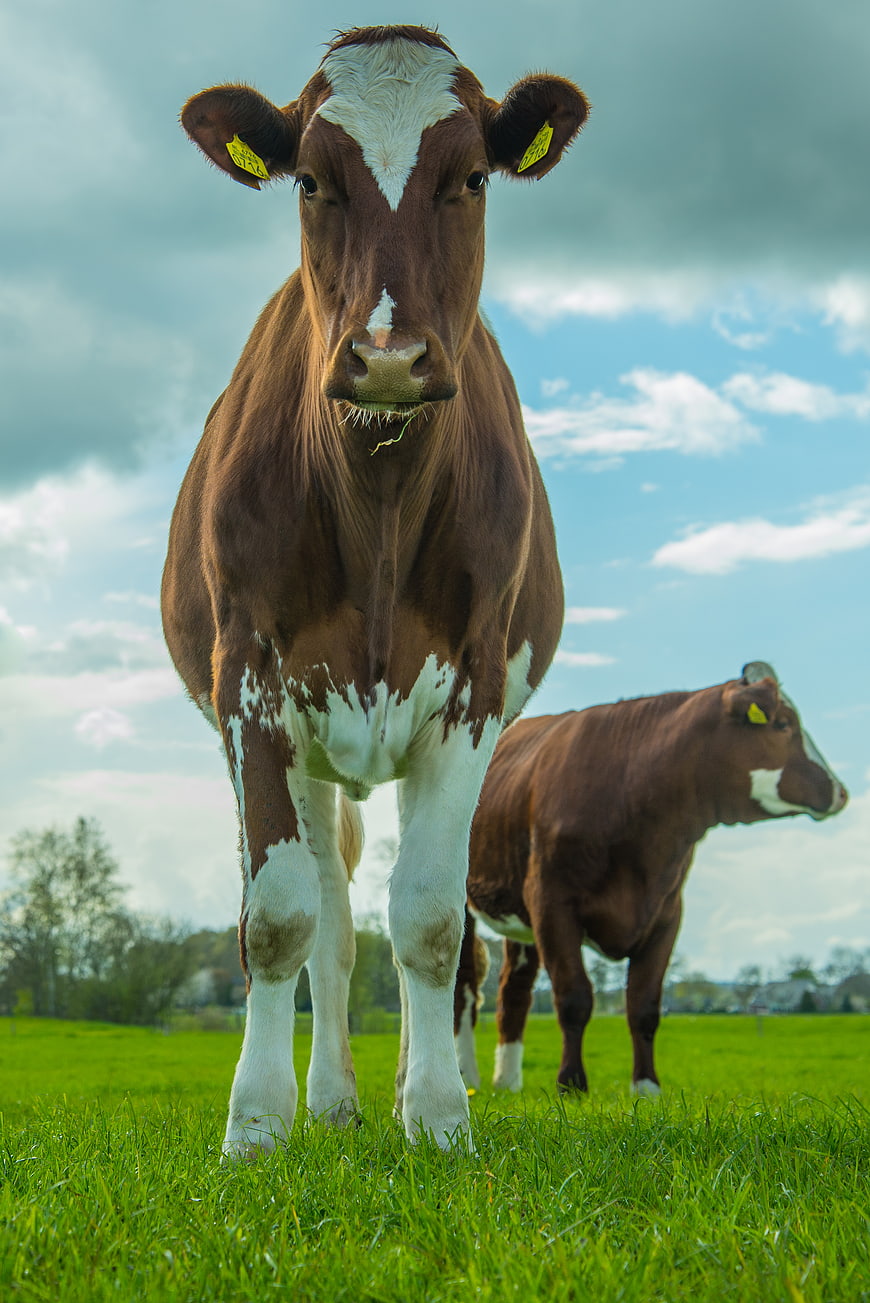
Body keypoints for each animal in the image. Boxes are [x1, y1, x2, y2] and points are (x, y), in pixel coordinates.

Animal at [161, 25, 588, 1156]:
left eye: (472, 176)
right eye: (311, 180)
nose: (389, 357)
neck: (379, 493)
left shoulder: (474, 680)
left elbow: (432, 920)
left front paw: (438, 1116)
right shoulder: (249, 674)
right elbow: (278, 917)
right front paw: (257, 1123)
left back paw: (398, 1089)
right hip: (306, 743)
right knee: (333, 922)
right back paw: (333, 1099)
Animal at [454, 661, 848, 1098]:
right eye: (782, 724)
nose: (840, 791)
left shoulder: (666, 914)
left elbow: (643, 1006)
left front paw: (646, 1088)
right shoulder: (552, 904)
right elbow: (574, 998)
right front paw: (571, 1085)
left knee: (514, 990)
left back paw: (507, 1081)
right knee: (466, 987)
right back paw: (468, 1076)